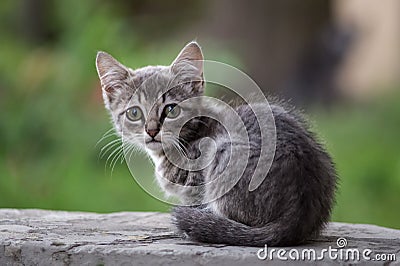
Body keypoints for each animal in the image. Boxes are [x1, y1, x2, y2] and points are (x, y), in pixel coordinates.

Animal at [96, 41, 338, 247]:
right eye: (134, 113)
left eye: (171, 109)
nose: (152, 131)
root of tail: (298, 213)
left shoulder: (196, 181)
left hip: (225, 153)